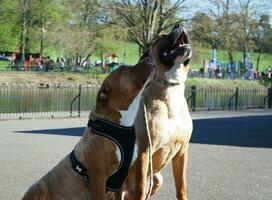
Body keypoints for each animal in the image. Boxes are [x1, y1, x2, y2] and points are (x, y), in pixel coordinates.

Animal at [21, 57, 155, 200]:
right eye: (125, 69)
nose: (148, 57)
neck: (120, 125)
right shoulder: (98, 177)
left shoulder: (119, 181)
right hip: (40, 186)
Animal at [119, 24, 193, 199]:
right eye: (162, 36)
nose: (180, 24)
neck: (170, 86)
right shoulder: (144, 150)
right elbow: (140, 187)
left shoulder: (182, 151)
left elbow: (181, 187)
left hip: (158, 179)